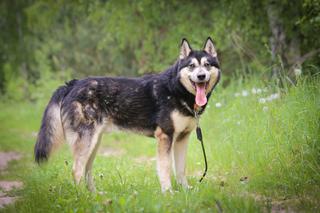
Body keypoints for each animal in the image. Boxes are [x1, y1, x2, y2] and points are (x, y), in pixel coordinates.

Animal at [34, 37, 220, 192]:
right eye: (191, 66)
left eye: (207, 65)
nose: (201, 76)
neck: (176, 89)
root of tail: (72, 84)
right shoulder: (165, 137)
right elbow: (166, 168)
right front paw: (168, 193)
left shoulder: (182, 138)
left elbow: (181, 170)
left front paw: (186, 191)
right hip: (87, 141)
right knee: (76, 171)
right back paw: (82, 198)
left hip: (94, 143)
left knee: (87, 170)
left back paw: (94, 196)